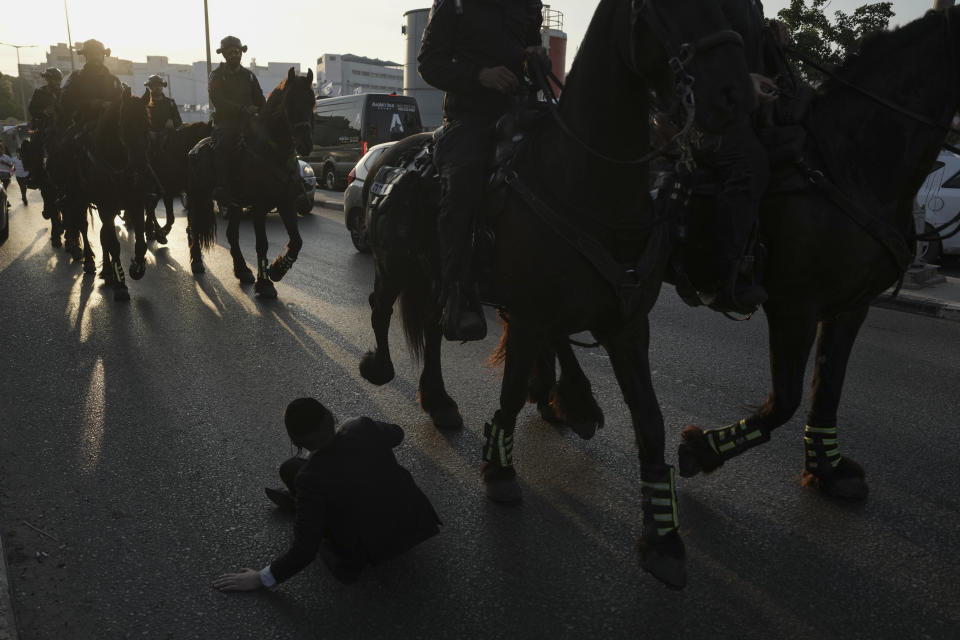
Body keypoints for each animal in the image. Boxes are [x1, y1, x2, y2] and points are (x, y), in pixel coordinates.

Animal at [189, 69, 316, 298]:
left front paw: (277, 270)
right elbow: (262, 244)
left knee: (232, 235)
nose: (306, 144)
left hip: (234, 204)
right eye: (290, 102)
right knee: (194, 227)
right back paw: (196, 261)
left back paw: (242, 270)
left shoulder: (286, 202)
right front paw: (265, 283)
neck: (271, 151)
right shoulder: (259, 205)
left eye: (312, 102)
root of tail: (196, 147)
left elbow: (297, 241)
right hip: (198, 197)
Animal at [356, 0, 752, 592]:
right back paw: (383, 367)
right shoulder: (531, 312)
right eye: (668, 7)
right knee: (384, 309)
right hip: (399, 265)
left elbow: (651, 420)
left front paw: (663, 534)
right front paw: (500, 468)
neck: (587, 181)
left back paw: (451, 399)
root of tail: (391, 160)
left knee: (433, 328)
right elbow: (509, 390)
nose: (739, 95)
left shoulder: (626, 325)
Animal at [676, 10, 960, 500]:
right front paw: (703, 449)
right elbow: (785, 400)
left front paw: (826, 469)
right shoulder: (794, 308)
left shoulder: (850, 306)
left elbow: (828, 387)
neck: (852, 162)